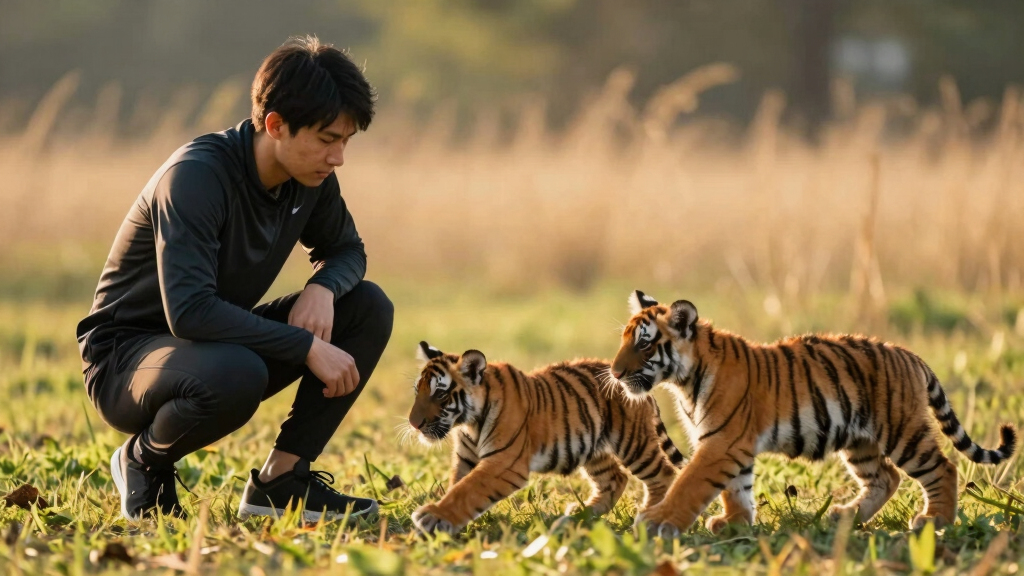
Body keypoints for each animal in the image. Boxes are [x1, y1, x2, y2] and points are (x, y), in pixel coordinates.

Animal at [406, 341, 686, 535]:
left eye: (440, 394)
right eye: (417, 392)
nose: (414, 424)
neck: (469, 423)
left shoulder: (504, 462)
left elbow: (467, 490)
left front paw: (433, 517)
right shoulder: (466, 458)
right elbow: (458, 485)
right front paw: (446, 524)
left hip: (633, 443)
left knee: (663, 475)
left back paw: (648, 519)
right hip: (594, 449)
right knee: (615, 479)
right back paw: (577, 516)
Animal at [609, 290, 1017, 536]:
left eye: (644, 345)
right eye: (624, 340)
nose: (613, 372)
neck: (684, 380)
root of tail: (910, 355)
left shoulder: (721, 441)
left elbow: (689, 484)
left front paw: (657, 521)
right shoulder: (731, 443)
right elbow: (735, 488)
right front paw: (735, 523)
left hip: (902, 431)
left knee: (942, 467)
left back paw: (935, 521)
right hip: (860, 441)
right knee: (885, 478)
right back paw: (845, 517)